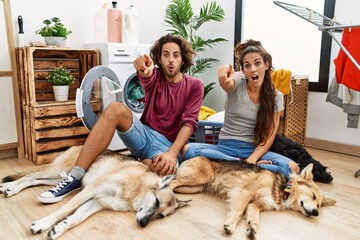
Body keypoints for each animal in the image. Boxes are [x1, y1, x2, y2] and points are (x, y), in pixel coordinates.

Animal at [170, 157, 336, 239]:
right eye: (313, 196)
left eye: (319, 205)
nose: (316, 213)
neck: (283, 189)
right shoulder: (245, 193)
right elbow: (238, 212)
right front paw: (230, 225)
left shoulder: (255, 205)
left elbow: (254, 218)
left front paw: (252, 229)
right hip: (199, 177)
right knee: (171, 182)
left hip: (195, 187)